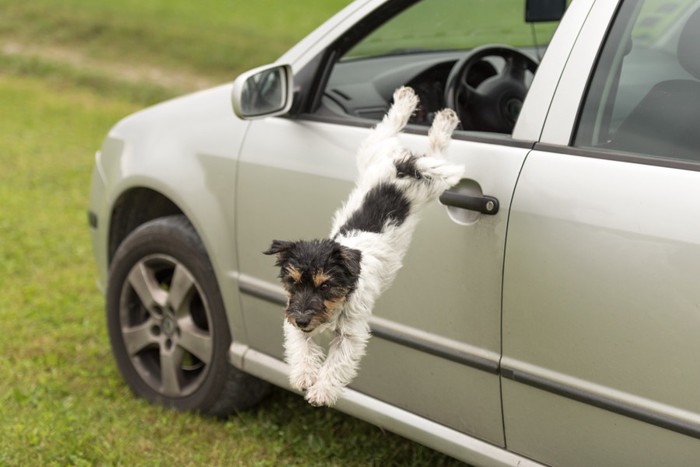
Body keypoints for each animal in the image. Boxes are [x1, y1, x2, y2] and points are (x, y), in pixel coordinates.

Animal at [262, 86, 464, 408]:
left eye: (325, 285)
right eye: (292, 282)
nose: (304, 320)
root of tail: (401, 168)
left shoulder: (351, 334)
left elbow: (336, 363)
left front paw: (322, 391)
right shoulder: (294, 318)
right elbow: (301, 347)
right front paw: (304, 376)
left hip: (430, 182)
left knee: (433, 148)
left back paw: (440, 117)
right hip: (375, 152)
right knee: (397, 130)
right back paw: (412, 102)